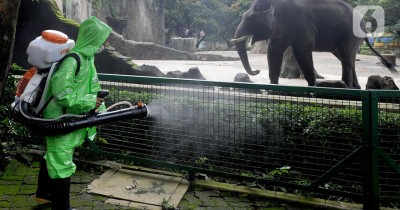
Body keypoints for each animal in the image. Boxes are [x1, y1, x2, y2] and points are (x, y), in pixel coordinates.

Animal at [231, 0, 396, 89]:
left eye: (251, 19)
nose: (257, 71)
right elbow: (273, 51)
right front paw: (273, 86)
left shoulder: (301, 25)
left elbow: (302, 51)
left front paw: (312, 87)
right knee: (346, 58)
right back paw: (355, 87)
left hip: (351, 34)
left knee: (347, 56)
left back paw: (348, 87)